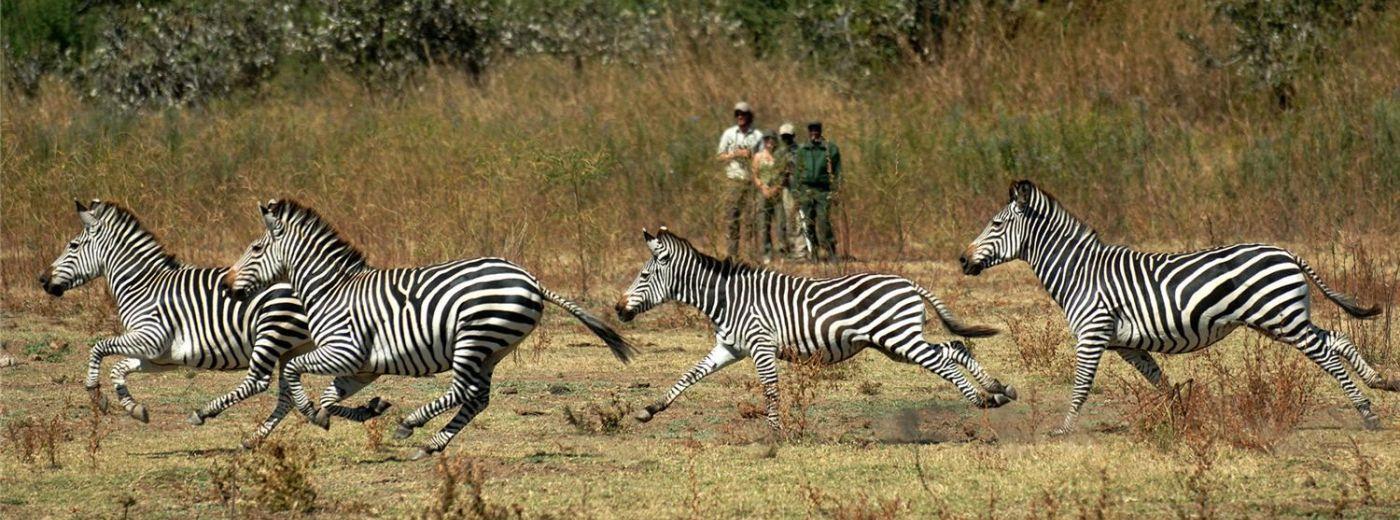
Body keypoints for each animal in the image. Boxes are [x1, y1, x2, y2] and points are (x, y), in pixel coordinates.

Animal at [38, 199, 389, 442]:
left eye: (72, 245)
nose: (42, 280)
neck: (143, 285)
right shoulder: (160, 357)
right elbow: (120, 369)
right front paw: (134, 408)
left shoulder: (150, 336)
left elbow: (99, 348)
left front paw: (96, 395)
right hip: (297, 346)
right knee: (288, 394)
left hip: (273, 332)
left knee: (258, 382)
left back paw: (205, 413)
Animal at [222, 199, 635, 459]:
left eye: (256, 248)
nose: (226, 285)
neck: (331, 289)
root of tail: (531, 279)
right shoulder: (363, 367)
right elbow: (331, 397)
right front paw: (345, 412)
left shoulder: (345, 350)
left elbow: (294, 370)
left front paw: (311, 412)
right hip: (494, 348)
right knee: (478, 398)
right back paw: (432, 444)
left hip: (474, 337)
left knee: (464, 390)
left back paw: (411, 423)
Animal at [610, 228, 1008, 431]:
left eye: (643, 276)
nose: (617, 309)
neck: (728, 298)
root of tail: (908, 282)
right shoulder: (730, 347)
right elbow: (690, 375)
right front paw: (650, 409)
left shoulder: (760, 346)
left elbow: (771, 390)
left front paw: (775, 433)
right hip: (895, 343)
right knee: (956, 348)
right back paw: (998, 390)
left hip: (899, 339)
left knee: (944, 359)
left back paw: (984, 399)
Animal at [957, 180, 1394, 434]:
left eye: (996, 225)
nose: (962, 260)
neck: (1079, 272)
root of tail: (1285, 252)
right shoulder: (1125, 344)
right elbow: (1159, 380)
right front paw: (1181, 415)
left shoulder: (1093, 334)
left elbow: (1081, 385)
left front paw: (1063, 430)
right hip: (1281, 319)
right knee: (1337, 337)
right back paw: (1381, 383)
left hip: (1281, 318)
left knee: (1327, 353)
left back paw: (1368, 413)